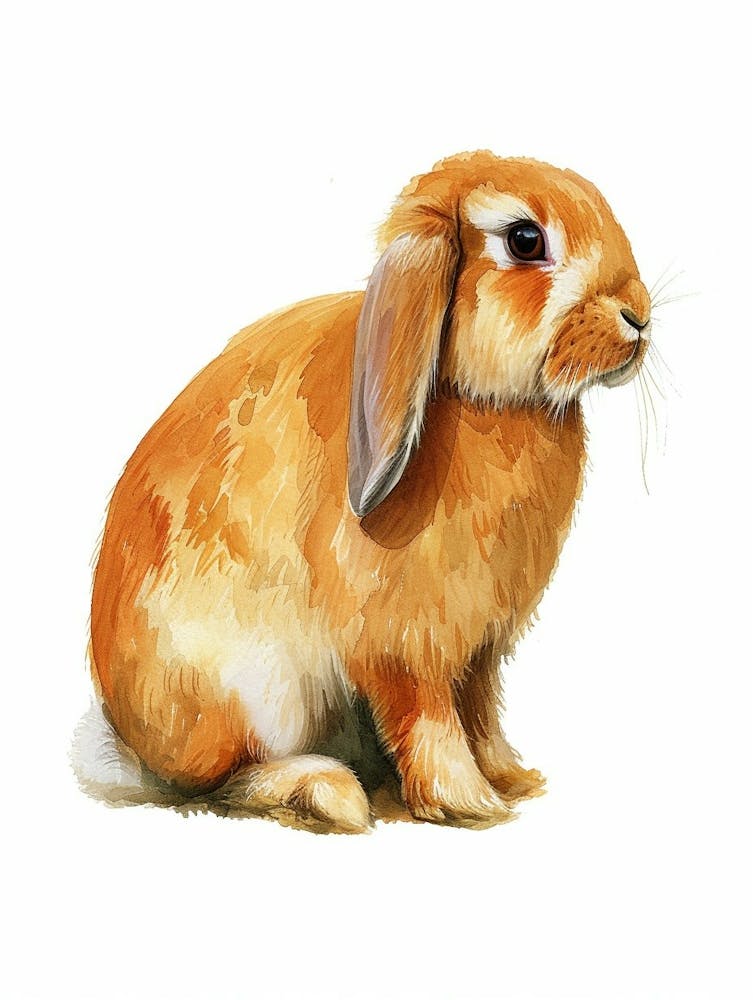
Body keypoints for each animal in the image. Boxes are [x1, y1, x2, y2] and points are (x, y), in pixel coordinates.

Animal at [82, 150, 651, 833]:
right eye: (524, 240)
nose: (639, 315)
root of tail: (129, 731)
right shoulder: (404, 645)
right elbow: (428, 717)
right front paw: (467, 801)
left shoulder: (480, 648)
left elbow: (480, 711)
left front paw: (512, 780)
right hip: (252, 693)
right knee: (221, 779)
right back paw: (328, 791)